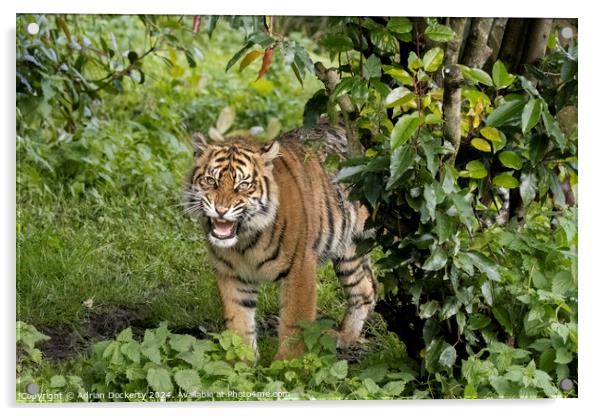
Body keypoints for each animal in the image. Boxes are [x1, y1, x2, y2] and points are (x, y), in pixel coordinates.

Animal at [184, 123, 376, 360]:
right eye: (211, 180)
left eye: (243, 185)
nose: (221, 209)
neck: (244, 242)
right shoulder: (232, 274)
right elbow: (239, 323)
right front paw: (242, 362)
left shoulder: (300, 268)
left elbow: (295, 323)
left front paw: (286, 363)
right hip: (350, 251)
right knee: (366, 289)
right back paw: (344, 337)